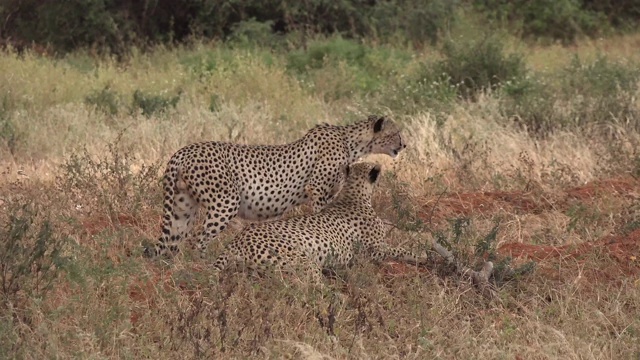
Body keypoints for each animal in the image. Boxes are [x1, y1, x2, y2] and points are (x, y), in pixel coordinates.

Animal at [145, 115, 404, 256]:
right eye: (397, 132)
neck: (351, 141)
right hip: (225, 201)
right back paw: (203, 265)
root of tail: (182, 151)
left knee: (173, 241)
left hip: (182, 206)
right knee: (197, 238)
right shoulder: (318, 190)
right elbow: (322, 218)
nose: (404, 145)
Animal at [212, 162, 428, 282]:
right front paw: (421, 255)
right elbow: (399, 249)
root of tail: (237, 240)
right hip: (302, 261)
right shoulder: (374, 250)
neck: (352, 193)